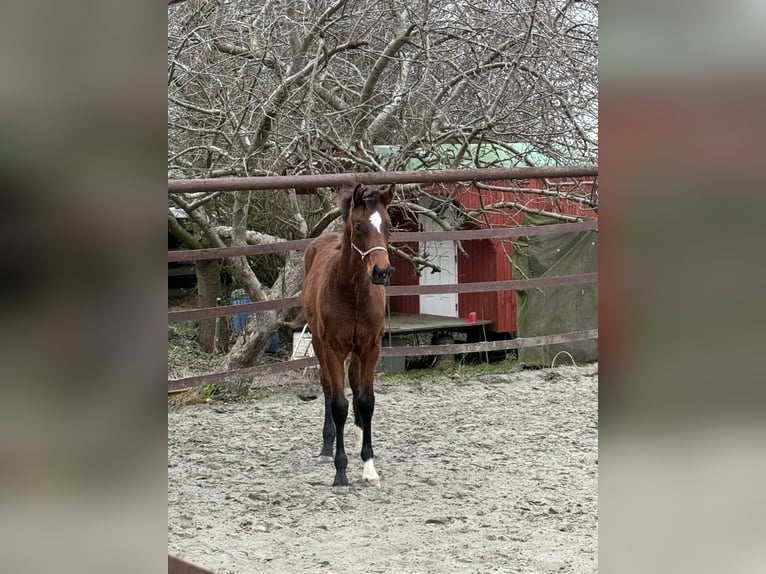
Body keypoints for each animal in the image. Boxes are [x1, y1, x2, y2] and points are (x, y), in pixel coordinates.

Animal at [300, 183, 394, 491]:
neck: (353, 293)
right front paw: (341, 472)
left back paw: (357, 435)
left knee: (353, 382)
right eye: (359, 226)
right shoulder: (332, 348)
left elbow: (366, 400)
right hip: (318, 343)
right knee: (329, 387)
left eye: (389, 224)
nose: (381, 272)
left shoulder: (371, 347)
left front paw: (369, 466)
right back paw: (327, 446)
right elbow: (339, 404)